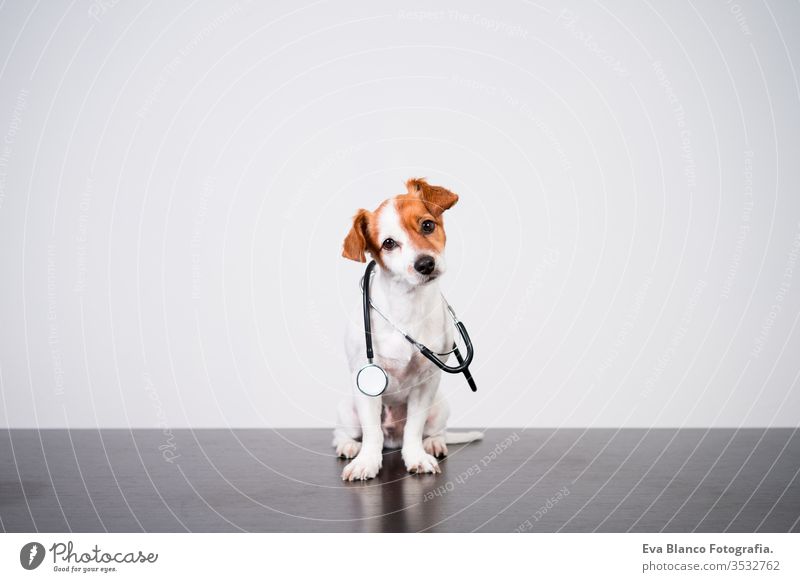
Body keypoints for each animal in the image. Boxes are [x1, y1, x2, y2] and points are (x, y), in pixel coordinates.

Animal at [332, 178, 482, 484]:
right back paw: (349, 446)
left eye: (427, 225)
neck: (408, 305)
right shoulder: (365, 382)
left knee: (433, 431)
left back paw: (433, 443)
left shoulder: (427, 383)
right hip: (348, 410)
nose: (425, 264)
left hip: (439, 406)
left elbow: (414, 428)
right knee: (344, 433)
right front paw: (367, 462)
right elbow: (371, 433)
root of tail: (393, 438)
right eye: (388, 243)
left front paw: (416, 457)